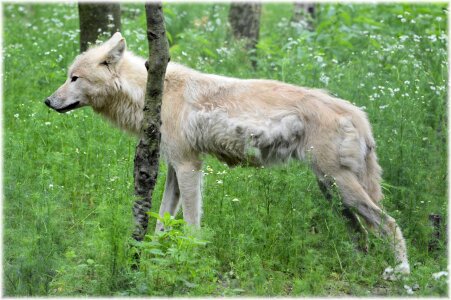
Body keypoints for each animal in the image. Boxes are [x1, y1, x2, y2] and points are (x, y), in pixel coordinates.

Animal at [45, 32, 410, 276]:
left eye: (74, 78)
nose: (48, 101)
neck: (154, 94)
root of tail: (357, 113)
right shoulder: (175, 169)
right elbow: (162, 222)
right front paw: (154, 259)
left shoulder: (189, 166)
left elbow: (191, 226)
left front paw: (189, 261)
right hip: (332, 191)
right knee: (362, 235)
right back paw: (360, 266)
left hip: (341, 188)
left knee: (390, 223)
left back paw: (402, 273)